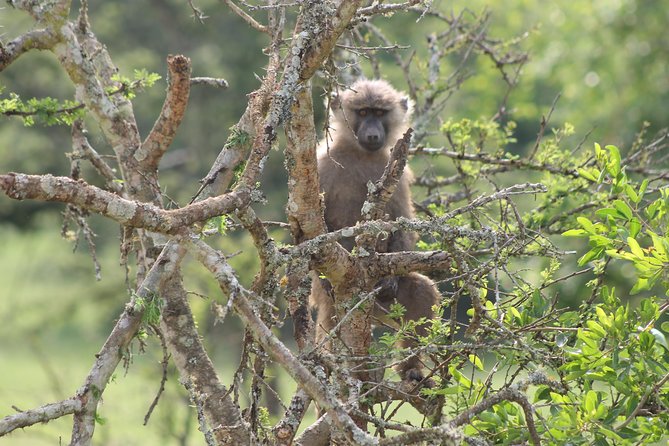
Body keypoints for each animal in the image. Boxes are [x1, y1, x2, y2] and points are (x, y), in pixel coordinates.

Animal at [310, 79, 440, 383]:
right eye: (363, 112)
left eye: (380, 113)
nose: (372, 134)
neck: (360, 154)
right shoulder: (322, 164)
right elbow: (310, 228)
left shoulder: (397, 176)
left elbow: (402, 223)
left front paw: (391, 279)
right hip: (336, 301)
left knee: (421, 292)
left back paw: (411, 370)